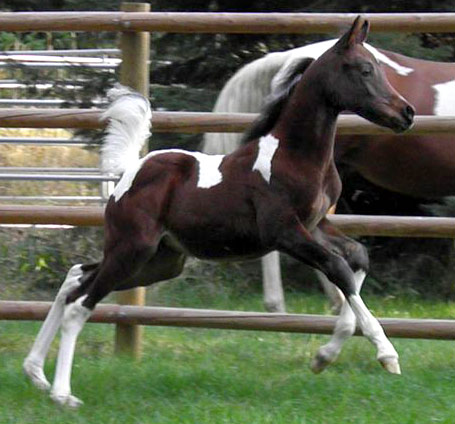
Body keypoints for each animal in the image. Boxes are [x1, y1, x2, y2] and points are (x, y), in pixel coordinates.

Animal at [23, 18, 416, 410]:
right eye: (365, 70)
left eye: (378, 67)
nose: (407, 113)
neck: (294, 157)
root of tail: (128, 174)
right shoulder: (285, 233)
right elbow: (338, 269)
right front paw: (386, 354)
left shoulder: (317, 225)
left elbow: (357, 257)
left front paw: (324, 356)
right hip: (132, 251)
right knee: (79, 305)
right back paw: (62, 394)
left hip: (158, 262)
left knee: (75, 280)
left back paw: (36, 373)